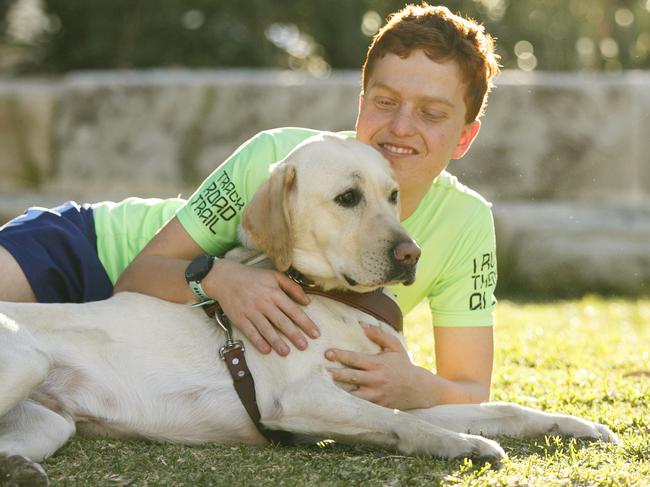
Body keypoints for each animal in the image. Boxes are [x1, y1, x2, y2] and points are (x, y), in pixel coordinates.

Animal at [0, 133, 616, 484]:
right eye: (347, 198)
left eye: (393, 195)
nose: (410, 254)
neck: (330, 294)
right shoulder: (298, 398)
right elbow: (401, 423)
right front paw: (463, 445)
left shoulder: (382, 388)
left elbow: (503, 408)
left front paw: (577, 426)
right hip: (27, 360)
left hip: (50, 421)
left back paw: (17, 468)